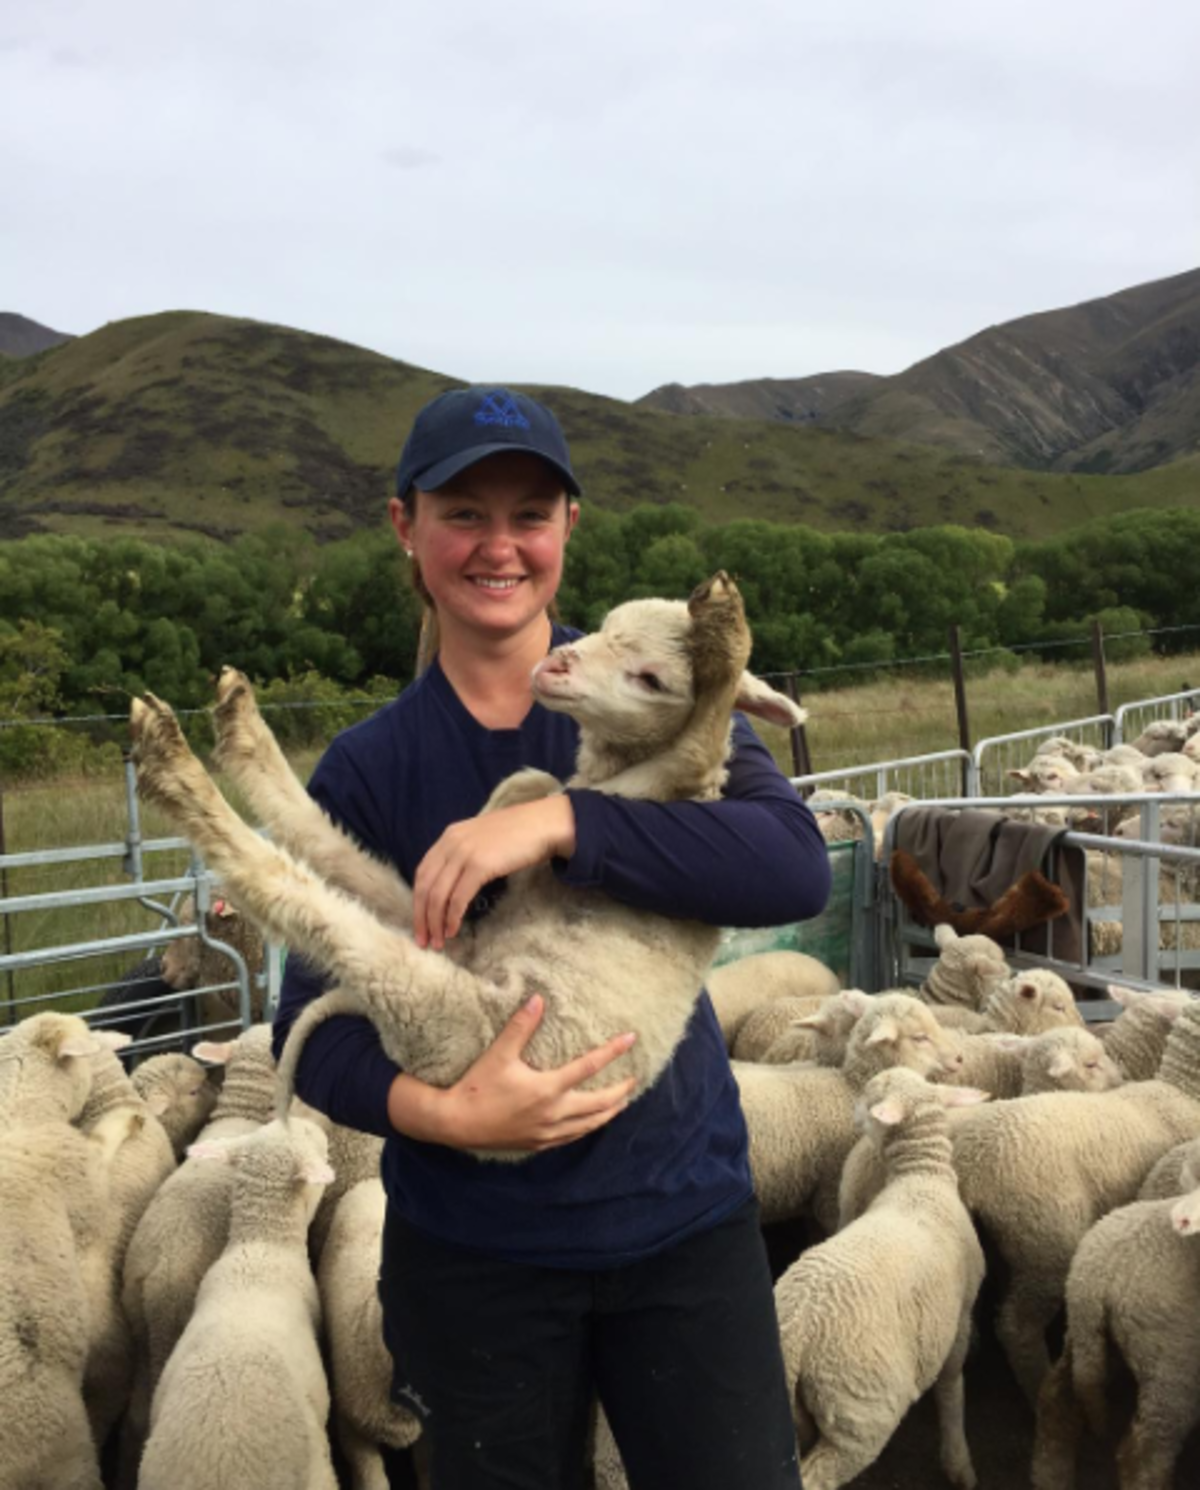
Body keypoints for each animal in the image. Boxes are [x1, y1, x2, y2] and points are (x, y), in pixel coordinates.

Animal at [128, 573, 808, 1160]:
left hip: (439, 1010)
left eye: (650, 678)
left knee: (294, 893)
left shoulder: (673, 782)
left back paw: (175, 768)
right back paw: (234, 727)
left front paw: (725, 638)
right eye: (606, 625)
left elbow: (696, 741)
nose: (554, 665)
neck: (617, 771)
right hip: (445, 939)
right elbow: (538, 780)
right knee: (322, 843)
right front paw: (493, 815)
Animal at [774, 1068, 988, 1490]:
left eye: (870, 1095)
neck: (922, 1177)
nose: (852, 1115)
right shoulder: (960, 1315)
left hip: (790, 1412)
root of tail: (797, 1331)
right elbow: (951, 1386)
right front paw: (958, 1461)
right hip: (861, 1408)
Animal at [949, 997, 1200, 1403]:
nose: (1120, 1077)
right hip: (1045, 1239)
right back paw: (1037, 1388)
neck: (1181, 1089)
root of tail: (972, 1169)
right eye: (1092, 1063)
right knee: (1016, 1324)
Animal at [1031, 1159, 1200, 1490]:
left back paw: (1050, 1477)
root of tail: (1095, 1277)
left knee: (1057, 1401)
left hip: (1088, 1340)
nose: (1183, 1220)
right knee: (1143, 1455)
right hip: (1174, 1362)